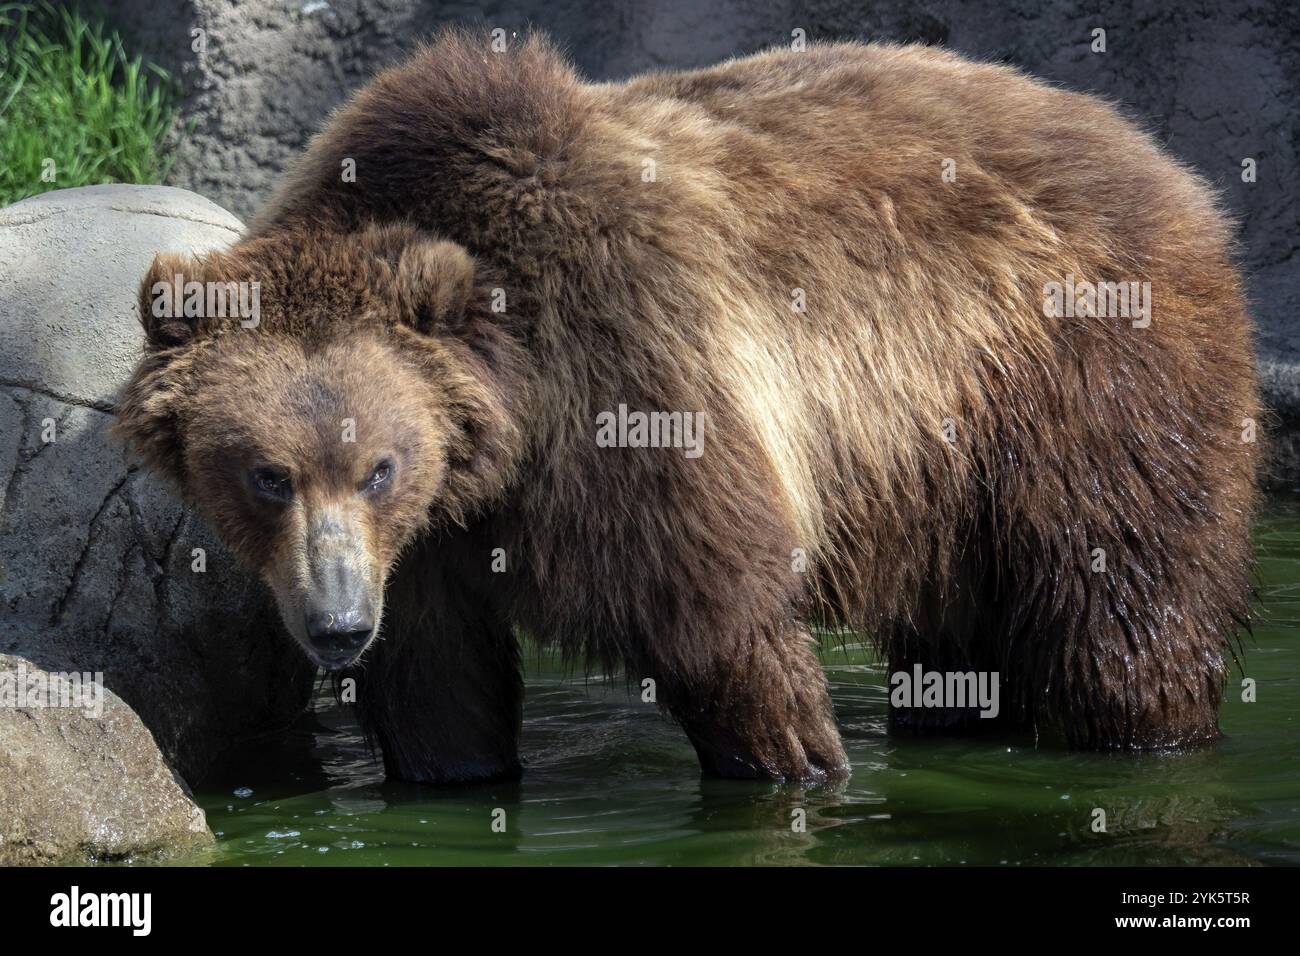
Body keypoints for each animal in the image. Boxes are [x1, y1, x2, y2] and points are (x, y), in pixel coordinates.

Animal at [114, 31, 1260, 784]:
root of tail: (1158, 158)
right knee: (962, 641)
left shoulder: (632, 380)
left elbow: (716, 612)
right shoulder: (431, 545)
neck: (505, 433)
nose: (337, 624)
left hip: (1078, 377)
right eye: (268, 474)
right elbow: (438, 688)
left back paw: (1150, 732)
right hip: (946, 474)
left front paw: (798, 758)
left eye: (378, 465)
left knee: (1122, 599)